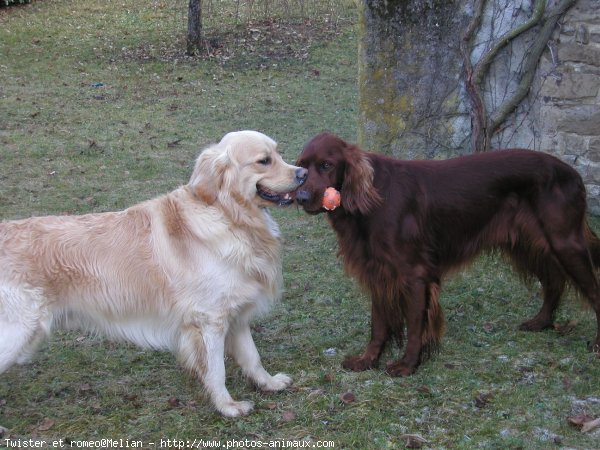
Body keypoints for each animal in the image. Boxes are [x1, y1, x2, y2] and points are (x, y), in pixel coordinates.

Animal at [0, 131, 308, 418]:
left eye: (279, 154)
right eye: (264, 161)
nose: (303, 173)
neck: (229, 215)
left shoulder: (235, 313)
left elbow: (252, 356)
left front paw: (269, 383)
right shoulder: (209, 320)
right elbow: (216, 369)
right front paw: (228, 406)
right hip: (18, 330)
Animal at [296, 132, 600, 374]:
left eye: (327, 165)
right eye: (302, 168)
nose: (300, 198)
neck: (374, 199)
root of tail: (573, 173)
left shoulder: (415, 274)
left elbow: (415, 325)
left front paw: (408, 365)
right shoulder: (378, 272)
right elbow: (378, 325)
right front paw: (367, 361)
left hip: (564, 242)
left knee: (590, 289)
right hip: (528, 244)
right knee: (553, 281)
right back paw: (542, 322)